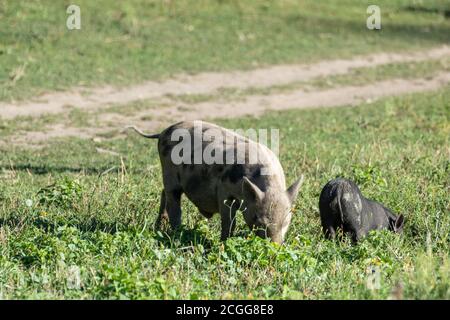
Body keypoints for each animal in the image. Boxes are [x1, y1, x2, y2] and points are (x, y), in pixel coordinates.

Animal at [126, 121, 304, 244]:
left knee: (164, 193)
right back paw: (177, 233)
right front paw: (224, 243)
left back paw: (159, 227)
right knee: (173, 204)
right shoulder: (224, 192)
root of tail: (164, 131)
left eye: (286, 220)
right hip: (169, 173)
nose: (275, 246)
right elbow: (228, 222)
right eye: (257, 219)